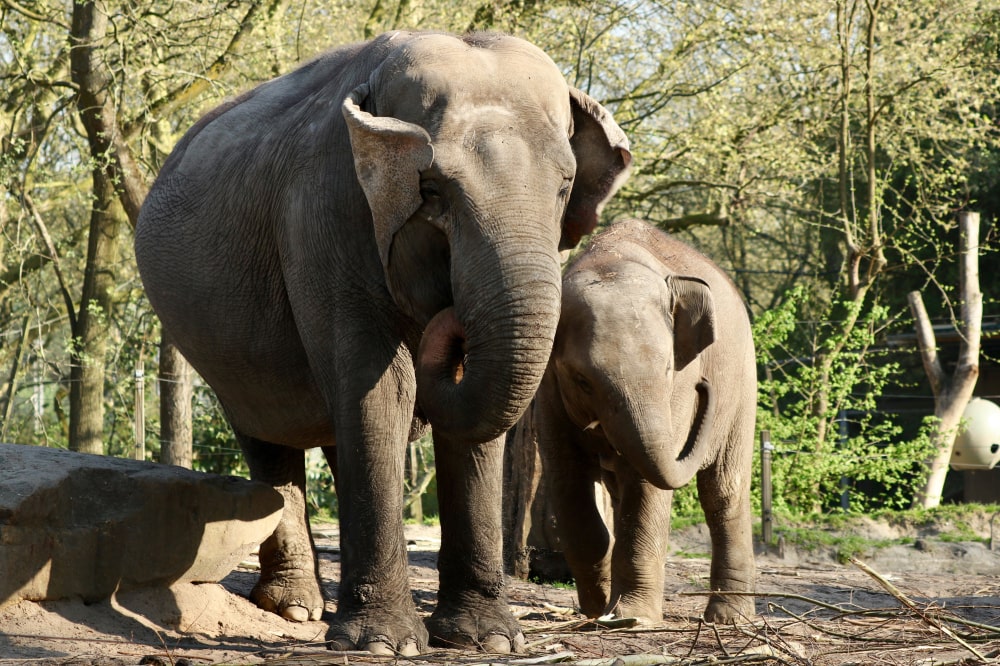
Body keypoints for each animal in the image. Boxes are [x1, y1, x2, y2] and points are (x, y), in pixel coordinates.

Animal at [134, 31, 632, 652]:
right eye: (432, 189)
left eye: (564, 188)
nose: (449, 320)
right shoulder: (326, 215)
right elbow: (381, 390)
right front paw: (382, 644)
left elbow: (471, 424)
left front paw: (487, 640)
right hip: (218, 347)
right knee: (268, 433)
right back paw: (295, 609)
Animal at [528, 217, 752, 624]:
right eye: (582, 380)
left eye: (667, 369)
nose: (704, 385)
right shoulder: (548, 390)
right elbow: (568, 480)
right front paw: (598, 610)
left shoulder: (676, 393)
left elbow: (647, 490)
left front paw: (631, 618)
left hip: (742, 384)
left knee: (723, 492)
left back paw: (728, 618)